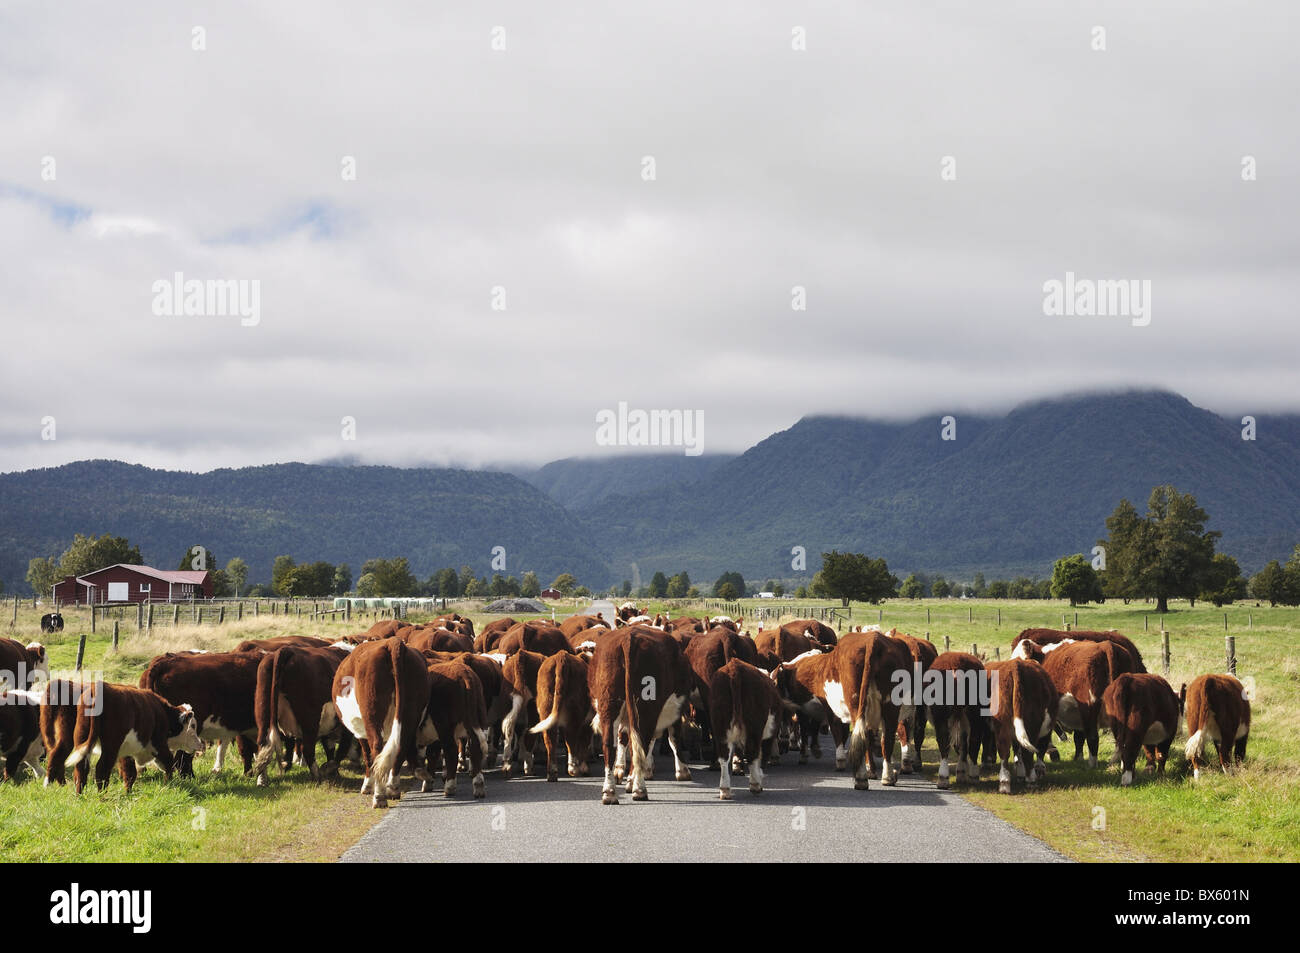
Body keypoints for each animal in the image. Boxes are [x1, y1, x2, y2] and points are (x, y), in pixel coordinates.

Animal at [63, 681, 198, 790]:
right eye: (193, 725)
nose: (200, 744)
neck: (162, 711)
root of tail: (97, 689)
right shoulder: (159, 743)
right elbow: (168, 762)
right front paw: (168, 784)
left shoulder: (126, 750)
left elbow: (130, 773)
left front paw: (128, 792)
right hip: (111, 746)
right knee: (102, 769)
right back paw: (102, 796)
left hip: (82, 737)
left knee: (80, 769)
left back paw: (80, 796)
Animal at [335, 634, 431, 806]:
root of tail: (392, 642)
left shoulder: (360, 730)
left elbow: (367, 756)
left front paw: (367, 786)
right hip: (410, 713)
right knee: (401, 746)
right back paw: (393, 787)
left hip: (372, 715)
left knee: (376, 747)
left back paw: (379, 796)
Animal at [712, 657, 780, 800]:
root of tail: (734, 667)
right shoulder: (770, 732)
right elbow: (762, 756)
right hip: (755, 726)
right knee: (752, 752)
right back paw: (755, 785)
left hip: (720, 724)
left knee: (723, 755)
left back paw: (724, 790)